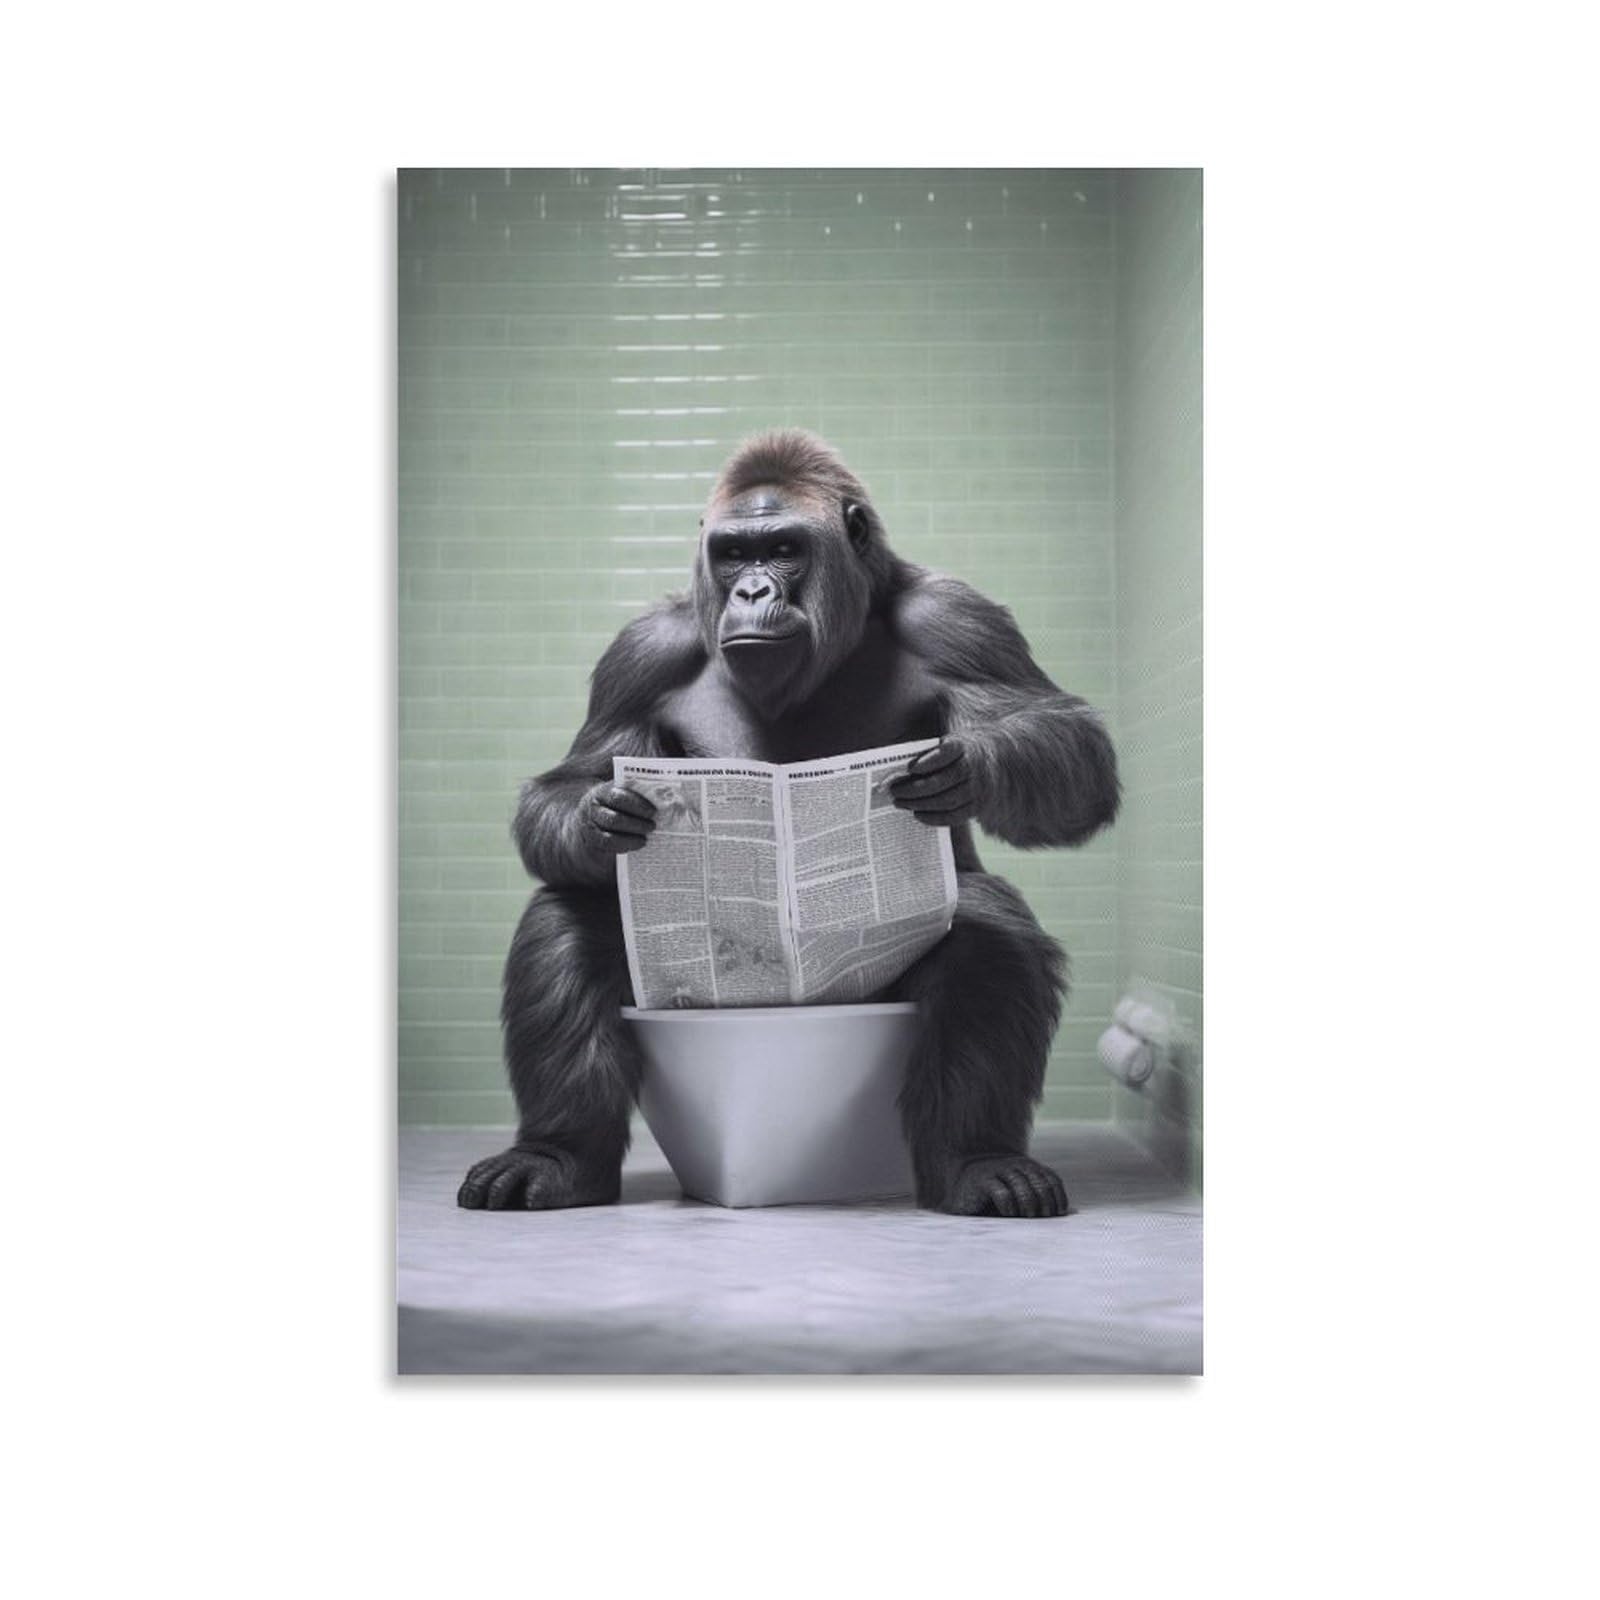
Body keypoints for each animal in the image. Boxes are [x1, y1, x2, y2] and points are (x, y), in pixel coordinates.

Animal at [457, 430, 1120, 1218]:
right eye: (734, 554)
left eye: (783, 549)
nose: (751, 591)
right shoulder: (640, 652)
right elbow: (574, 779)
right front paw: (600, 819)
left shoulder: (959, 619)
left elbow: (1061, 737)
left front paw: (971, 770)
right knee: (565, 917)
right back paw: (556, 1155)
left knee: (991, 938)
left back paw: (980, 1161)